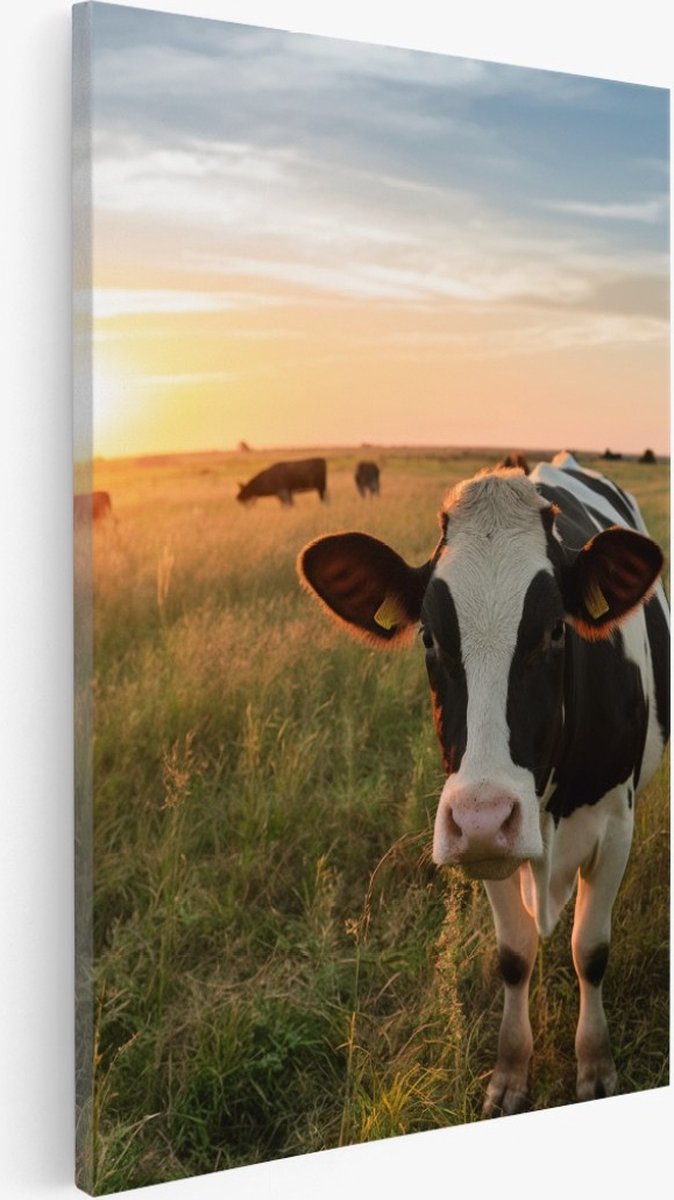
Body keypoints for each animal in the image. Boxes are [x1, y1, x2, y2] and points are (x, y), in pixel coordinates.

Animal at [297, 452, 669, 1115]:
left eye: (555, 631)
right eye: (428, 637)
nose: (482, 819)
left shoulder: (616, 824)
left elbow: (590, 950)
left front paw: (595, 1067)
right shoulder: (485, 847)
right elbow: (515, 956)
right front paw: (510, 1073)